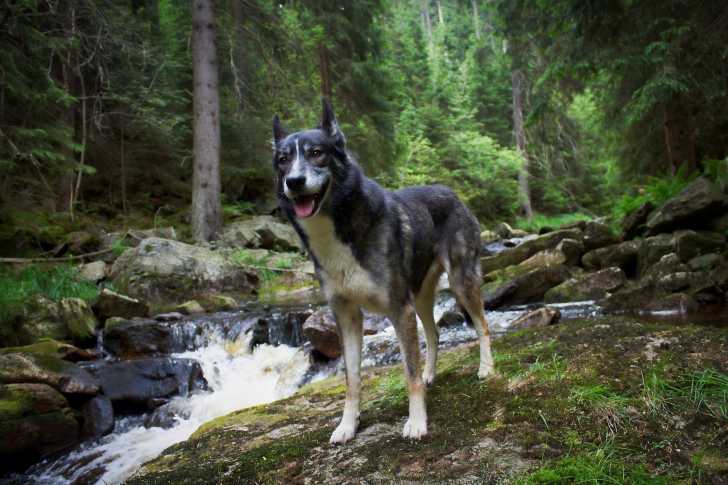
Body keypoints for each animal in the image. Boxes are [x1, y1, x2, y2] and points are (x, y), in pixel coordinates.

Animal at [272, 99, 494, 444]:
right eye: (283, 160)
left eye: (316, 153)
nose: (293, 182)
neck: (339, 229)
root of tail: (453, 193)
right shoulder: (347, 316)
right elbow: (351, 380)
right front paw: (347, 426)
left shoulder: (398, 309)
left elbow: (408, 373)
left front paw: (416, 423)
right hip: (420, 298)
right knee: (434, 334)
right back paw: (431, 375)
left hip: (460, 282)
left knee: (482, 325)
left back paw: (486, 369)